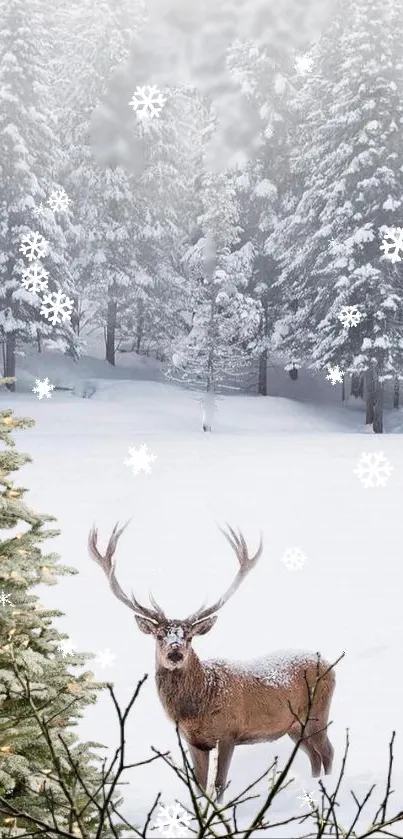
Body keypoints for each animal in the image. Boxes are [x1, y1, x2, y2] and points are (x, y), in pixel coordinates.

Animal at [89, 520, 338, 804]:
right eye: (160, 635)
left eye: (188, 636)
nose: (175, 653)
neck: (198, 706)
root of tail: (330, 664)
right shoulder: (194, 741)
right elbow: (199, 786)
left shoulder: (229, 731)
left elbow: (219, 784)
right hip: (294, 726)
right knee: (314, 756)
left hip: (318, 711)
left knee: (327, 752)